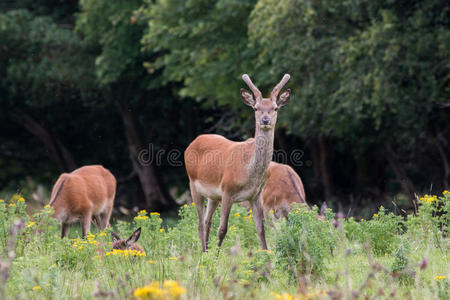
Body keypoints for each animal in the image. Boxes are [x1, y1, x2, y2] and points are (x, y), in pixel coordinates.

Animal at [184, 73, 292, 251]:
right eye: (256, 108)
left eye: (275, 108)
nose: (265, 120)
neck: (249, 172)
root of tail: (193, 142)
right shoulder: (227, 190)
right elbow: (222, 229)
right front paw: (217, 256)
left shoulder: (256, 195)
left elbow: (261, 229)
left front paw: (266, 254)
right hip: (193, 183)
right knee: (199, 223)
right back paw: (204, 252)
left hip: (213, 195)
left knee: (207, 221)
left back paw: (205, 251)